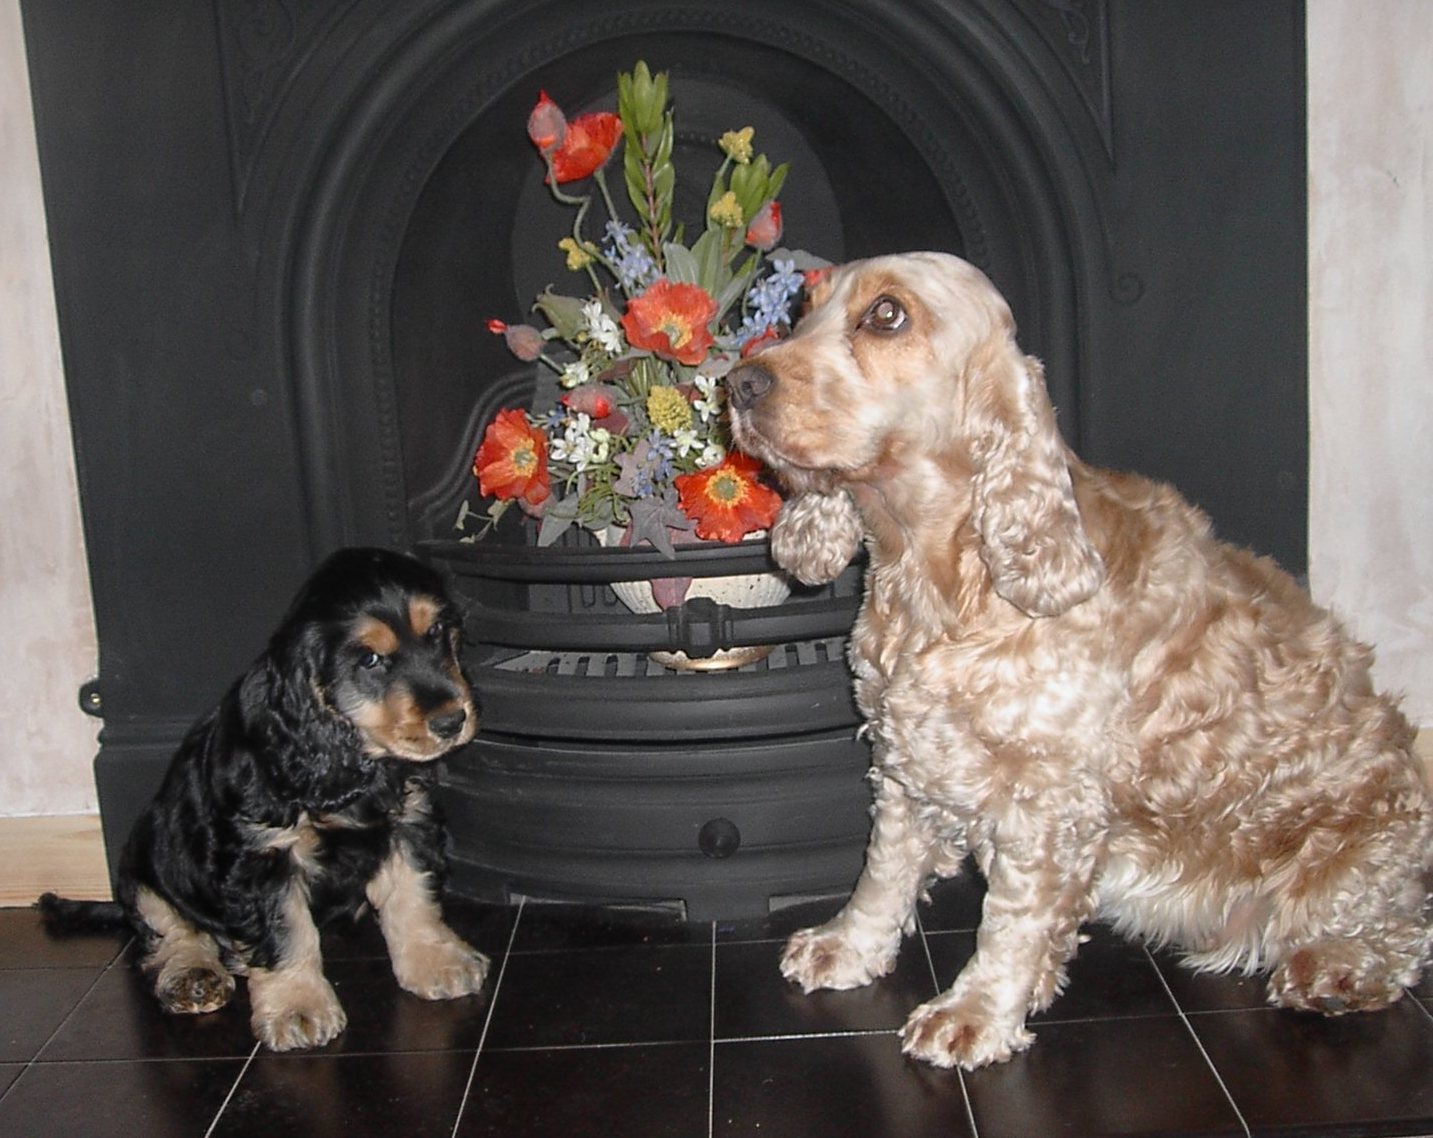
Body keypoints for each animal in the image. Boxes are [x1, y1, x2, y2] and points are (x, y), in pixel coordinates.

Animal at [40, 544, 487, 1043]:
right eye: (371, 660)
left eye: (436, 633)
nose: (452, 721)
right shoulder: (262, 855)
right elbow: (287, 931)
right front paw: (299, 1008)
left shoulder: (408, 819)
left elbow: (413, 896)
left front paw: (438, 963)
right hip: (145, 864)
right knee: (172, 933)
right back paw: (193, 977)